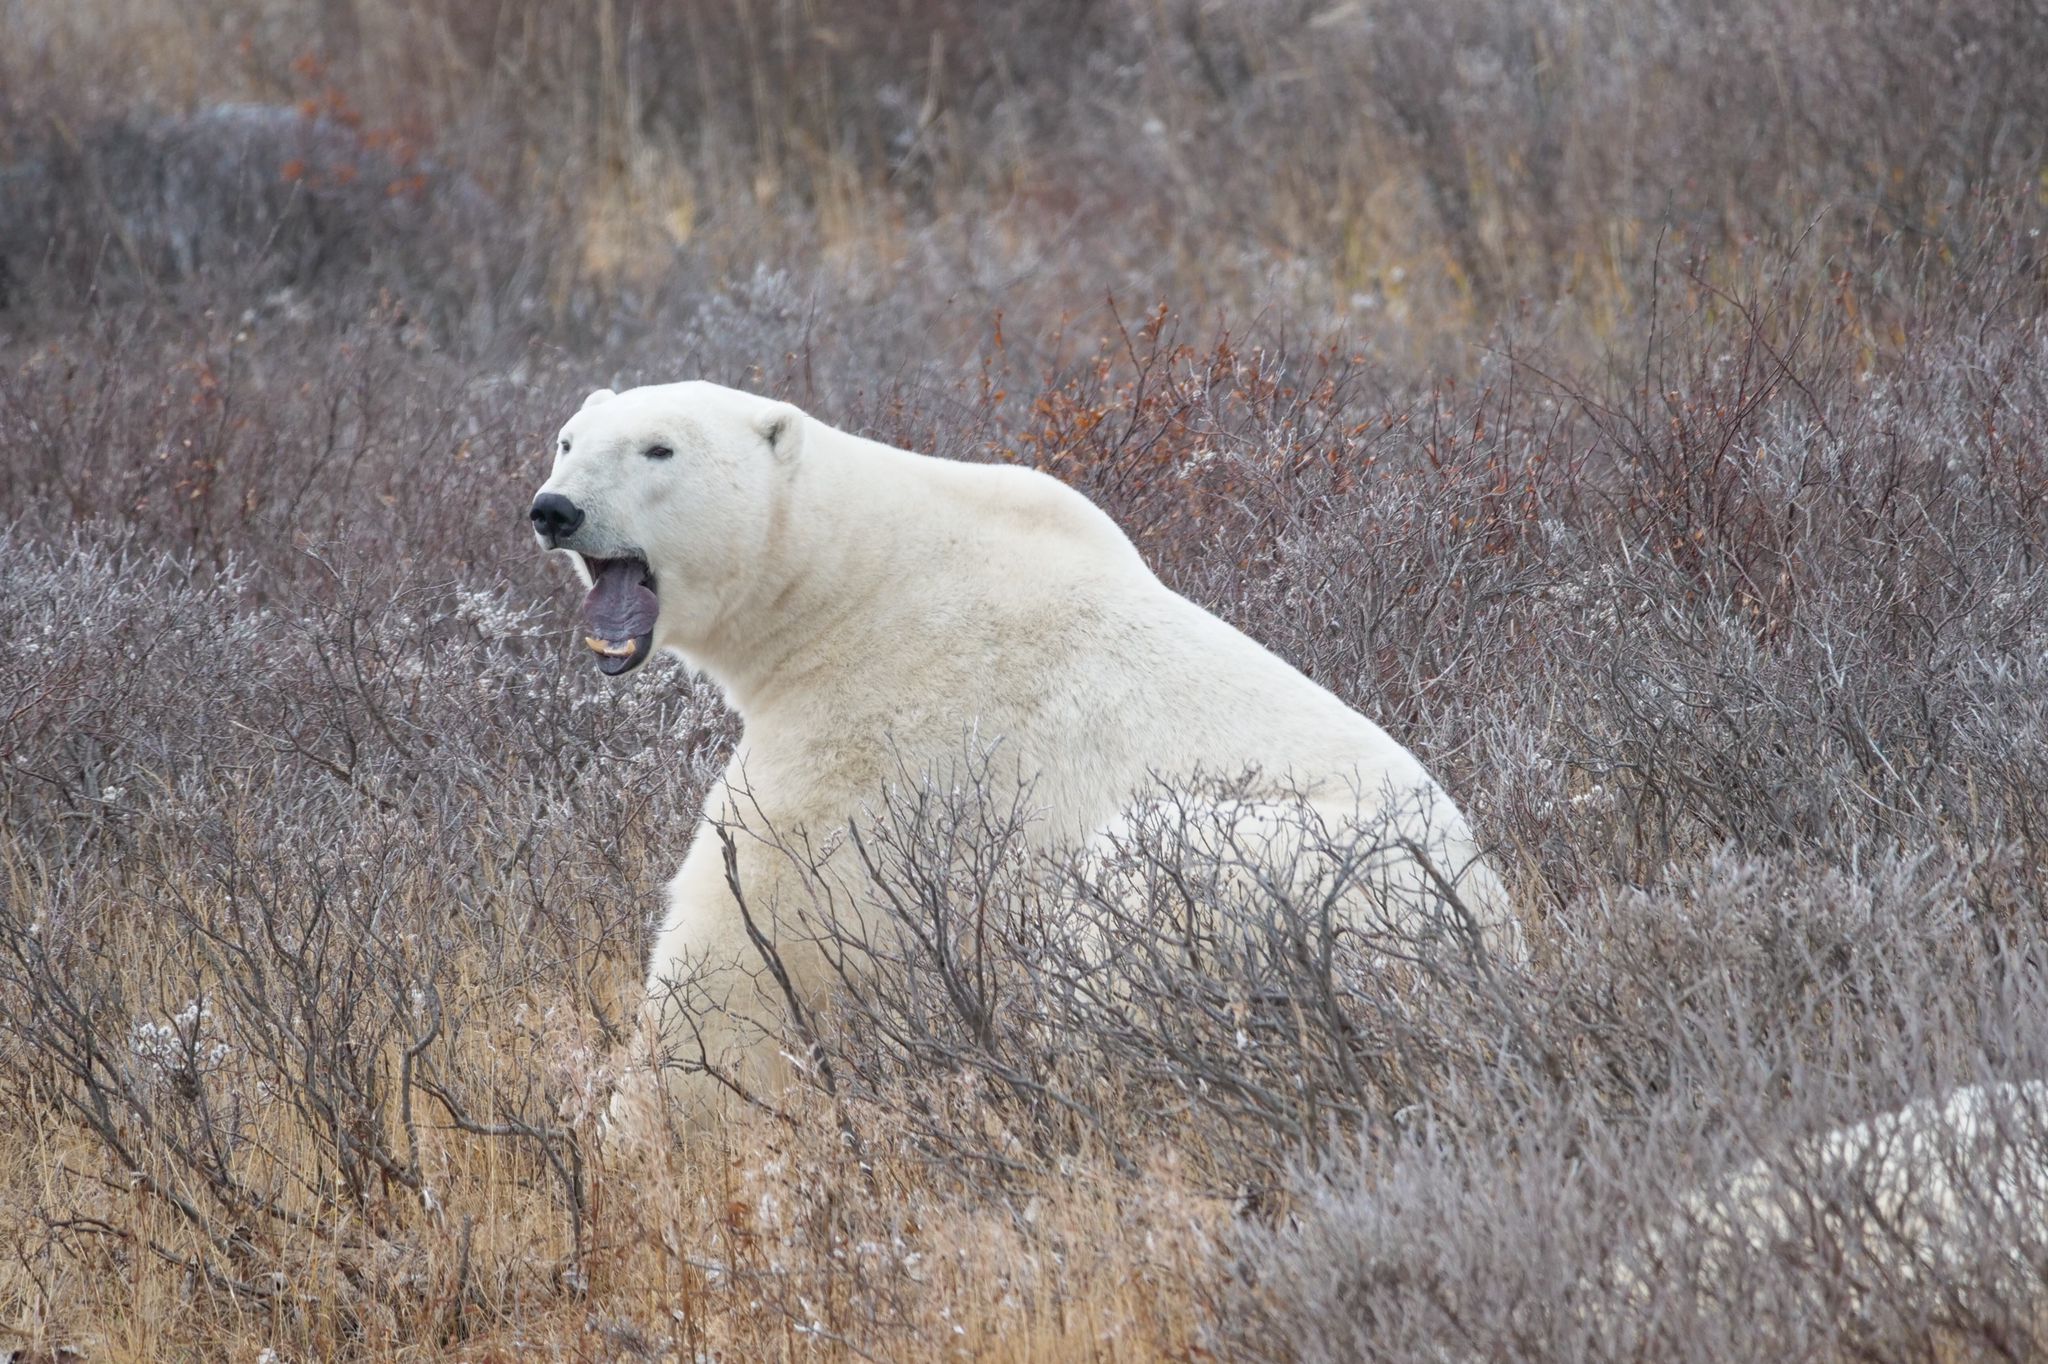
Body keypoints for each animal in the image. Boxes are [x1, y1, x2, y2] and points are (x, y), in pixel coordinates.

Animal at [529, 381, 1521, 1126]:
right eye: (568, 440)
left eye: (659, 450)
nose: (553, 508)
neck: (847, 582)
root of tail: (1498, 943)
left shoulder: (878, 725)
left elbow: (750, 925)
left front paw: (643, 1124)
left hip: (1302, 875)